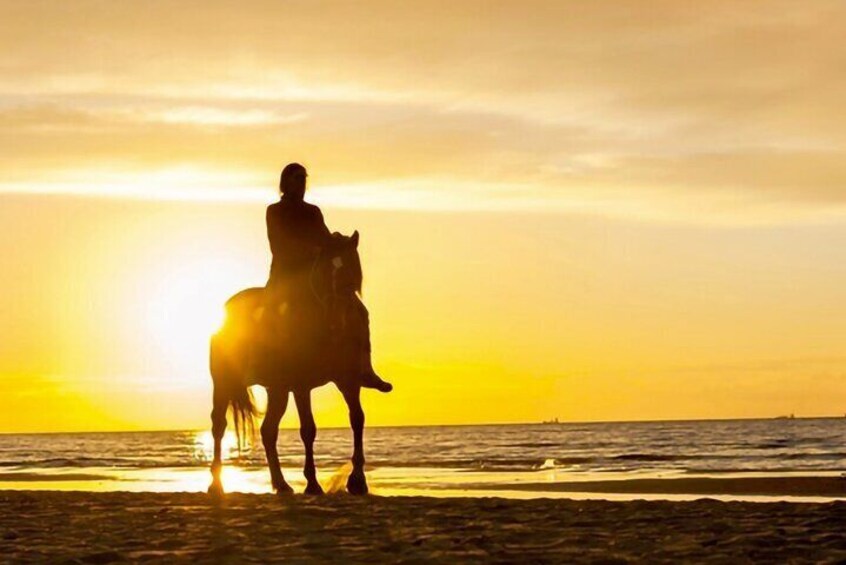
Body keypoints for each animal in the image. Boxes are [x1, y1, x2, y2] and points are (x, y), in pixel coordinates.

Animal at [208, 231, 372, 496]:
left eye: (353, 270)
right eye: (324, 271)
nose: (337, 319)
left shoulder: (348, 380)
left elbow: (357, 418)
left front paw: (357, 480)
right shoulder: (301, 385)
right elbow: (308, 429)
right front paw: (313, 483)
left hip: (277, 389)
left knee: (268, 431)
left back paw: (281, 484)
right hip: (223, 383)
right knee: (219, 426)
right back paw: (216, 484)